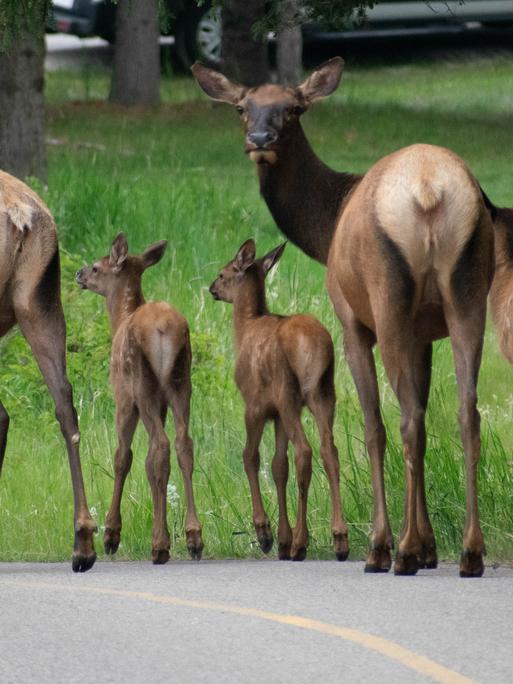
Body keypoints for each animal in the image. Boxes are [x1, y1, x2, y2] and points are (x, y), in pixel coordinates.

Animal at [75, 232, 202, 564]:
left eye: (97, 267)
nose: (79, 274)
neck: (120, 318)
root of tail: (163, 329)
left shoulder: (123, 397)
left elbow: (124, 457)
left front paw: (111, 534)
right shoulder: (162, 402)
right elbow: (146, 462)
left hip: (142, 384)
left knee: (160, 446)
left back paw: (159, 544)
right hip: (181, 382)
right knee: (182, 443)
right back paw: (194, 537)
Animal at [208, 239, 348, 560]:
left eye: (223, 273)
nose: (212, 288)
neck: (245, 328)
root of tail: (318, 346)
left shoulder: (255, 404)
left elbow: (250, 457)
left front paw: (265, 533)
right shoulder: (277, 416)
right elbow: (278, 466)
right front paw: (282, 539)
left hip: (289, 393)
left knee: (305, 451)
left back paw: (302, 542)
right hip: (324, 393)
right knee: (329, 450)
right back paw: (338, 537)